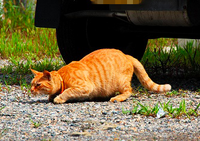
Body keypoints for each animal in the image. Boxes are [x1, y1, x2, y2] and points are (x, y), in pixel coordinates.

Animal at [30, 48, 171, 103]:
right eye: (31, 84)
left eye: (38, 85)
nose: (31, 90)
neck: (62, 78)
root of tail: (125, 54)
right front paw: (52, 96)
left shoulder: (84, 87)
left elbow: (68, 92)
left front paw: (59, 98)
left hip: (121, 82)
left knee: (129, 91)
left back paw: (117, 98)